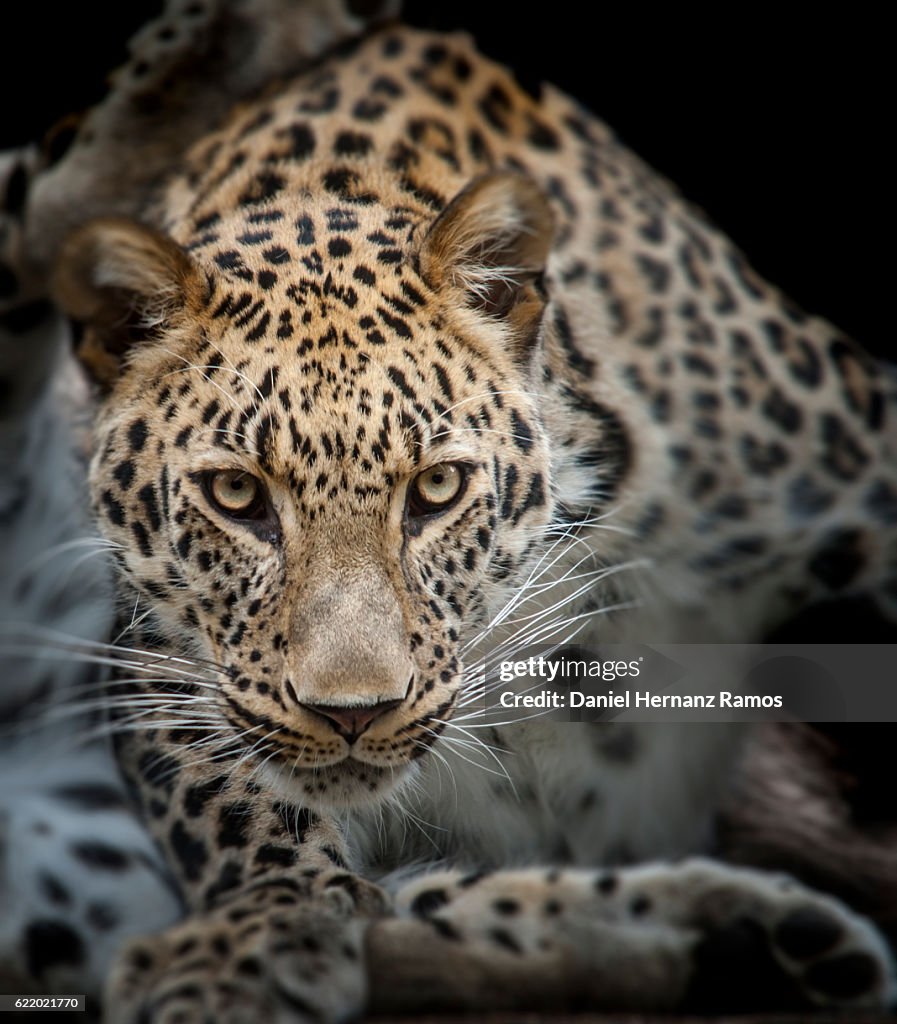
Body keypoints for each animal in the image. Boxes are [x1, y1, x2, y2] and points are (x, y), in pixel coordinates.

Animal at [1, 4, 897, 1019]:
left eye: (436, 489)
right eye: (236, 495)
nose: (352, 714)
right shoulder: (157, 658)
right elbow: (226, 801)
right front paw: (256, 931)